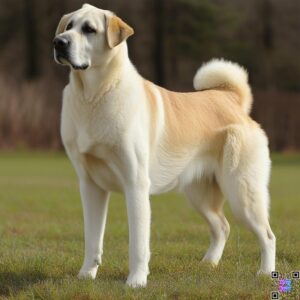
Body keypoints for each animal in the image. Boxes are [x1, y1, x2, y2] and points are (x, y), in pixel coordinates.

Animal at [54, 2, 276, 288]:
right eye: (69, 26)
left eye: (89, 29)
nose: (59, 42)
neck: (93, 95)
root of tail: (231, 98)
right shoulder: (90, 185)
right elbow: (92, 238)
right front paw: (85, 276)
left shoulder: (136, 184)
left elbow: (138, 243)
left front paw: (136, 282)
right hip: (199, 194)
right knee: (222, 226)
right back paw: (208, 264)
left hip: (242, 193)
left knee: (267, 235)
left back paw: (265, 273)